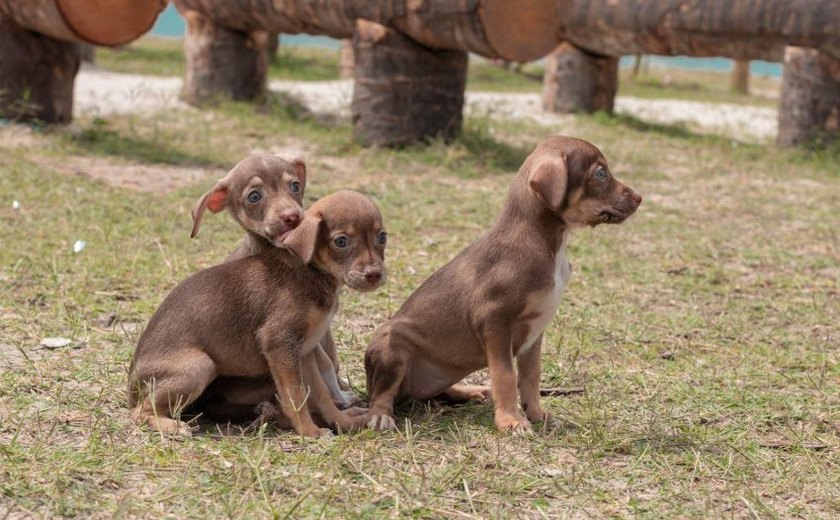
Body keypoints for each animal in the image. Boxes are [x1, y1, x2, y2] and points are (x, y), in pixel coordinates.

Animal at [127, 189, 388, 436]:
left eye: (382, 237)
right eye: (341, 241)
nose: (374, 274)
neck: (312, 273)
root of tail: (131, 386)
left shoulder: (304, 352)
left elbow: (320, 394)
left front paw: (343, 423)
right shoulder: (279, 343)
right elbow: (295, 395)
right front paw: (309, 432)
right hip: (199, 366)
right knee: (139, 411)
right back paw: (172, 426)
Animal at [362, 135, 644, 434]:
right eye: (600, 173)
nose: (639, 198)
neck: (547, 244)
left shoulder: (534, 332)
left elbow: (531, 376)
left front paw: (537, 414)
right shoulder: (494, 321)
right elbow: (506, 375)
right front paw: (511, 420)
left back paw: (470, 390)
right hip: (391, 346)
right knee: (382, 393)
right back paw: (380, 415)